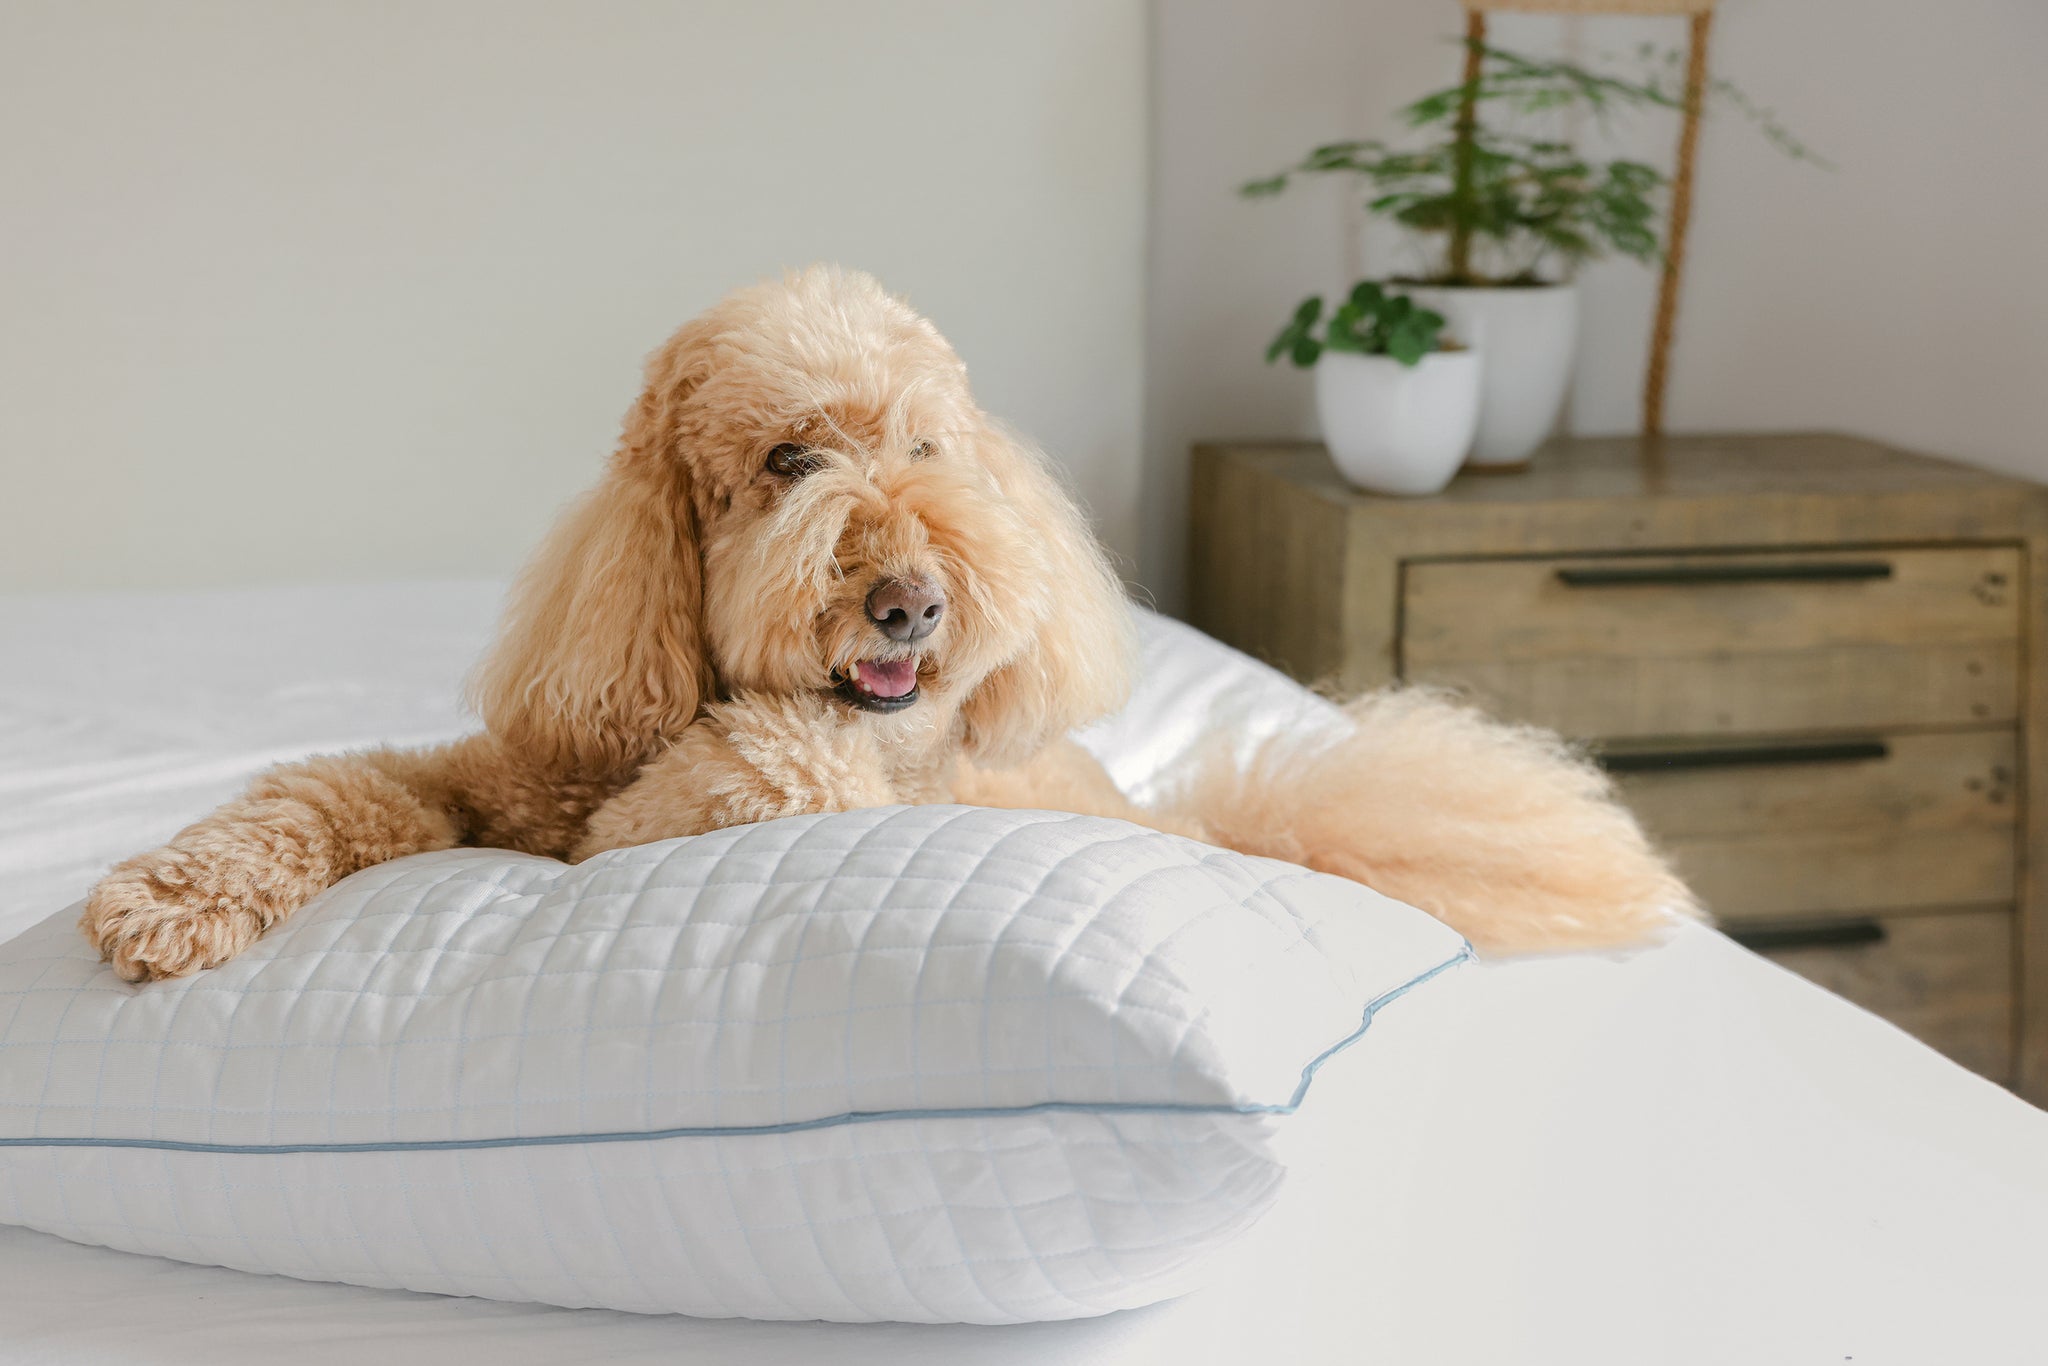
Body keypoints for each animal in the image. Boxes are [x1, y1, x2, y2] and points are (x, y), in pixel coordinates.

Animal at [75, 264, 1695, 983]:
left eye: (927, 451)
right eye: (789, 460)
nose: (911, 598)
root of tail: (1210, 825)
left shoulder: (825, 768)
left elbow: (759, 768)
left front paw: (644, 820)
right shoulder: (488, 771)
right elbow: (329, 787)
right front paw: (167, 892)